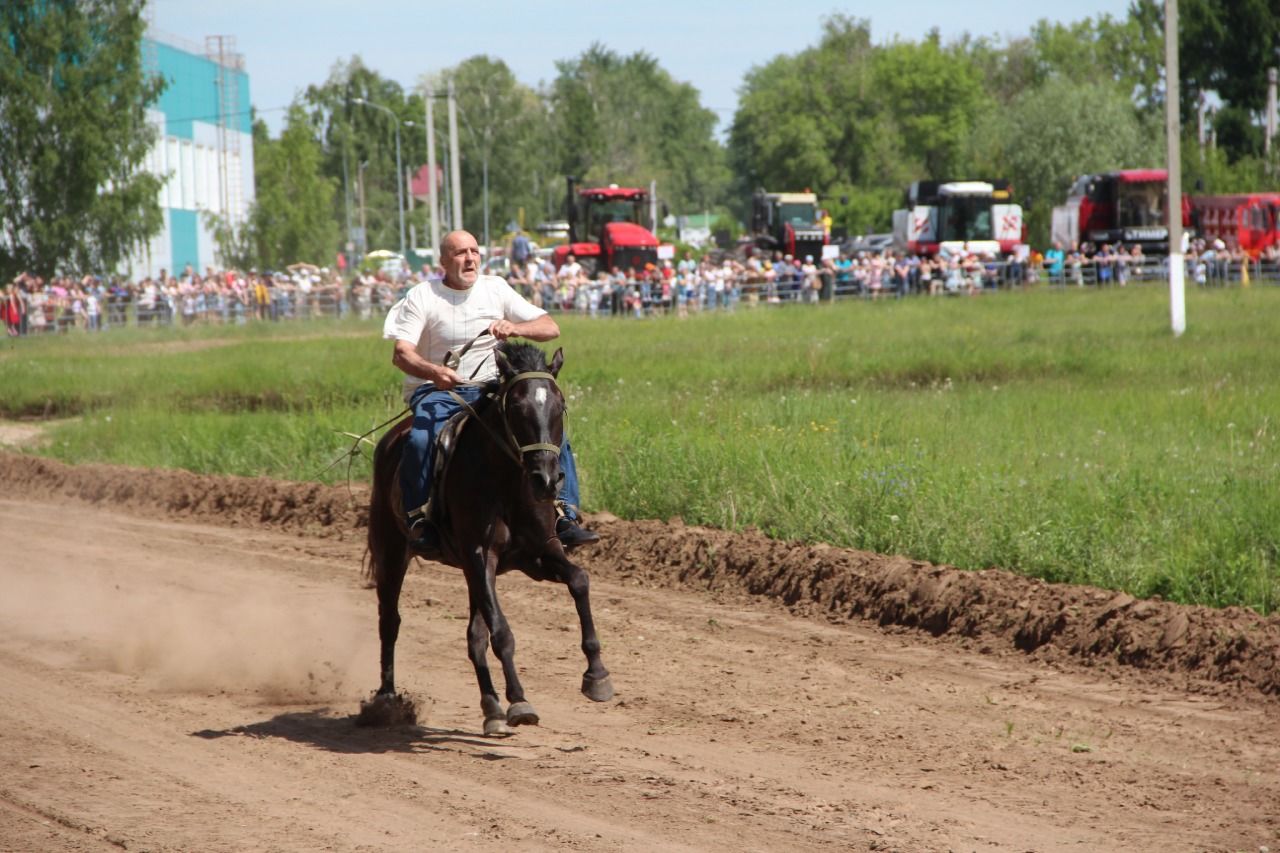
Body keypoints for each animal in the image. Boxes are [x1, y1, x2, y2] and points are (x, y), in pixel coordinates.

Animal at [366, 338, 614, 732]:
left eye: (559, 404)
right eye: (516, 406)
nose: (546, 479)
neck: (507, 481)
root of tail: (390, 441)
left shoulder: (538, 553)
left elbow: (579, 581)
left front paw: (597, 676)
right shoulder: (480, 555)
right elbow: (501, 631)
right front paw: (520, 700)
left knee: (473, 636)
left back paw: (491, 708)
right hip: (392, 552)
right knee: (390, 622)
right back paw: (387, 701)